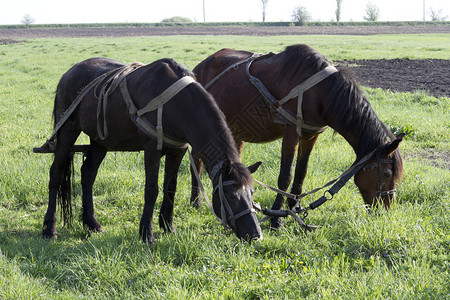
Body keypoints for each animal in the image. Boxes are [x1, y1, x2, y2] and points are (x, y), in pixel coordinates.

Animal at [40, 56, 264, 244]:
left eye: (252, 193)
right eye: (232, 196)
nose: (255, 234)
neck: (177, 104)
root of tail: (69, 73)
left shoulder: (178, 150)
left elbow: (170, 187)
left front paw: (168, 226)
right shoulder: (151, 149)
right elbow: (152, 190)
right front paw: (146, 233)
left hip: (99, 141)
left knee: (88, 175)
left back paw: (91, 223)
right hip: (67, 132)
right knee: (55, 174)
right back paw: (49, 228)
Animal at [190, 44, 404, 229]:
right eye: (387, 173)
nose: (387, 210)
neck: (320, 92)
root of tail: (200, 66)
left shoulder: (310, 135)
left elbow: (301, 172)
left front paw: (295, 208)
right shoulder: (291, 131)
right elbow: (285, 176)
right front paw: (276, 218)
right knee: (196, 160)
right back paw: (196, 201)